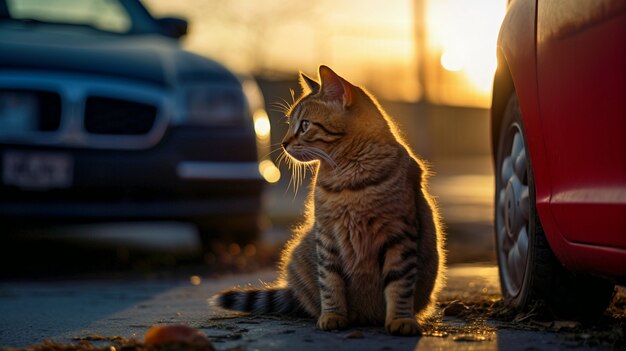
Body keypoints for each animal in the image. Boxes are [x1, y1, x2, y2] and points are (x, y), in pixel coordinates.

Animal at [214, 66, 444, 338]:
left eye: (304, 125)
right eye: (290, 124)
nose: (283, 143)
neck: (348, 178)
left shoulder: (400, 234)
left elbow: (399, 283)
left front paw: (401, 320)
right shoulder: (327, 236)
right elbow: (331, 282)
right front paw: (332, 316)